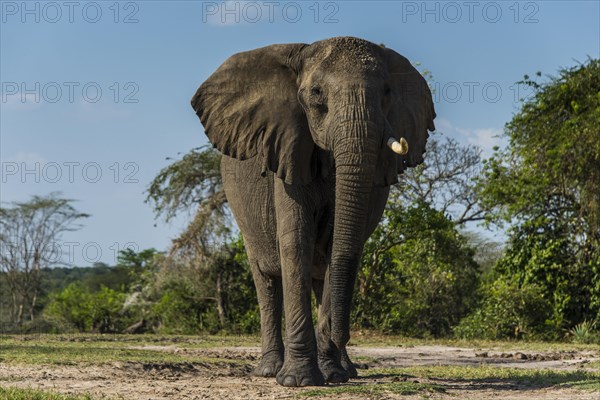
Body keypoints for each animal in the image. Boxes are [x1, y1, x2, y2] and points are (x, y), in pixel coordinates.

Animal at [193, 36, 436, 386]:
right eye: (316, 93)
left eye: (387, 91)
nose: (340, 336)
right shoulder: (288, 150)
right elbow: (296, 242)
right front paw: (298, 380)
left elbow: (340, 246)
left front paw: (331, 373)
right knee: (267, 282)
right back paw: (270, 370)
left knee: (324, 276)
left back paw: (343, 370)